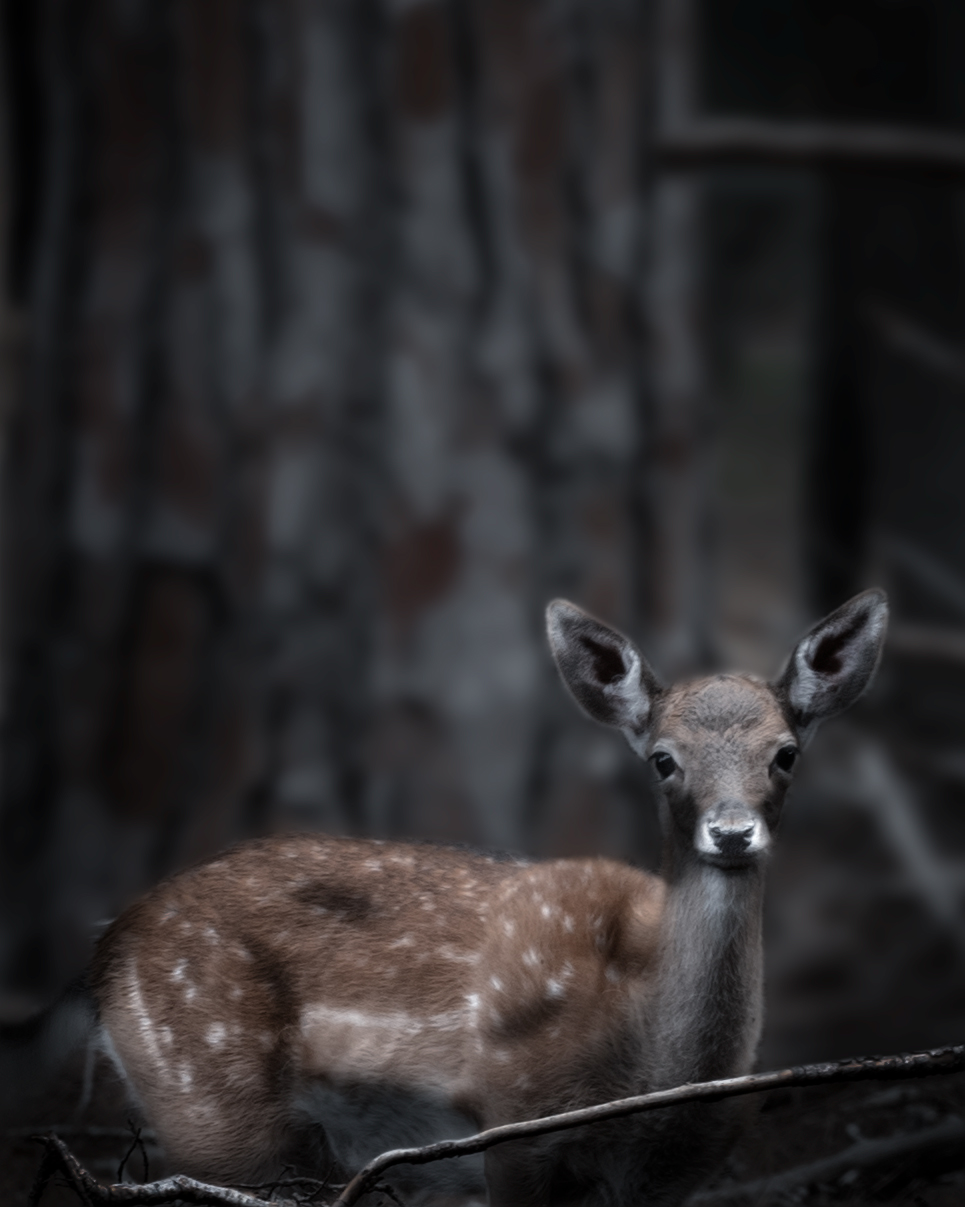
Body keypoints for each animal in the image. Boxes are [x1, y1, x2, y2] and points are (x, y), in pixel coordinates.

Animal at [2, 589, 888, 1206]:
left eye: (785, 752)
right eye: (663, 758)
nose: (731, 832)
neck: (652, 1067)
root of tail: (104, 950)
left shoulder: (681, 1165)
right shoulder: (518, 1118)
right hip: (212, 1106)